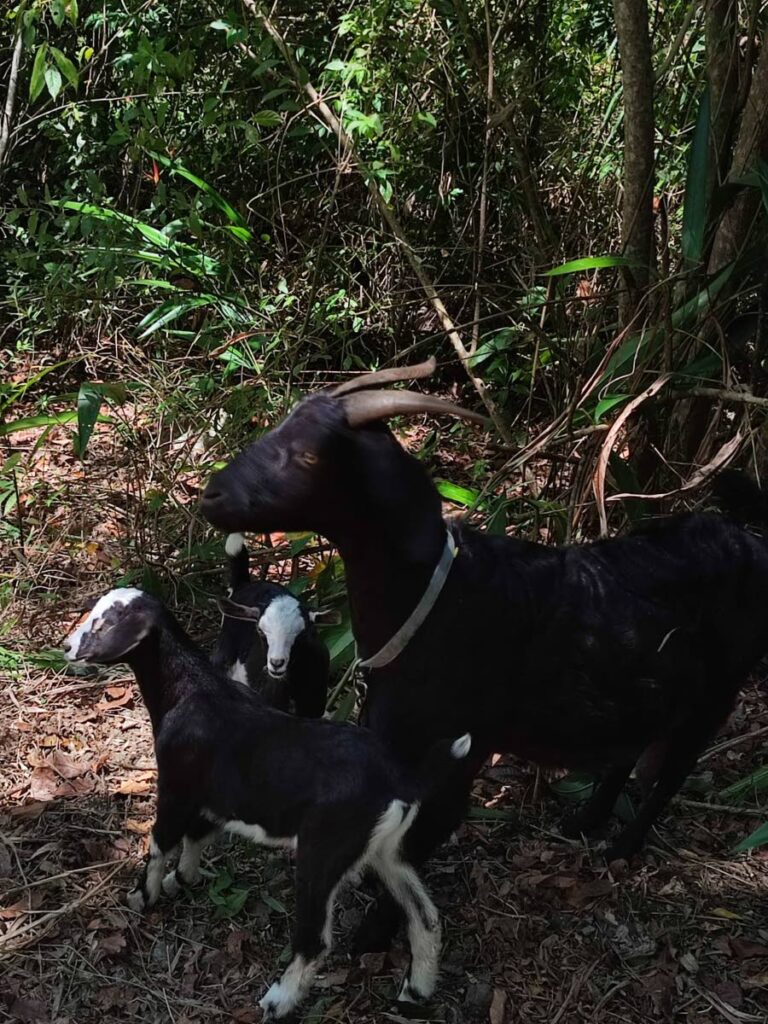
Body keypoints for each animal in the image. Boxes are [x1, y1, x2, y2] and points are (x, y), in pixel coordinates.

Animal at [201, 356, 768, 937]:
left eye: (311, 454)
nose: (210, 495)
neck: (434, 601)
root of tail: (746, 537)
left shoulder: (460, 751)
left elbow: (418, 841)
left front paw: (372, 937)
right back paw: (586, 820)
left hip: (717, 692)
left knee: (672, 772)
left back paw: (622, 846)